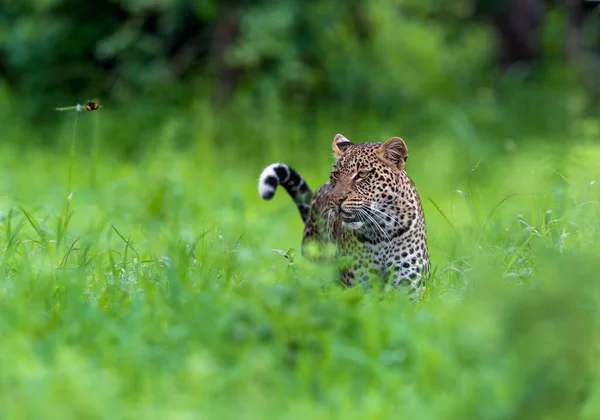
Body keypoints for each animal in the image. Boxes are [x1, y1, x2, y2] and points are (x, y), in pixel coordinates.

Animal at [258, 133, 432, 294]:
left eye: (362, 174)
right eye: (336, 174)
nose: (336, 199)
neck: (381, 232)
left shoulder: (411, 288)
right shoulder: (358, 286)